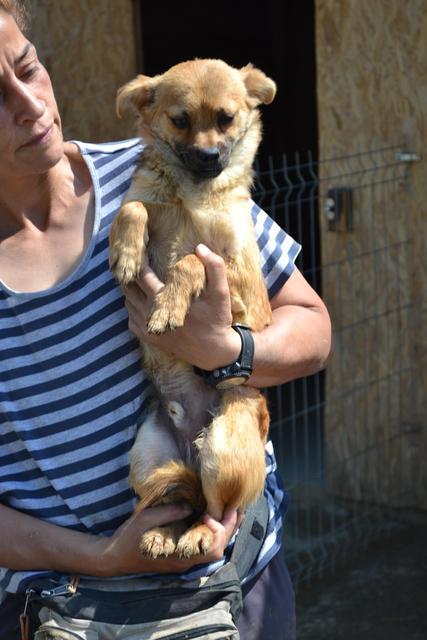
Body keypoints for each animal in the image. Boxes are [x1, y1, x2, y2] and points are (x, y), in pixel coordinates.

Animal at [110, 60, 276, 560]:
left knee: (218, 511)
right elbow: (134, 208)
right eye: (180, 120)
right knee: (181, 500)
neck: (192, 194)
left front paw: (166, 306)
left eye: (226, 118)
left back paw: (200, 534)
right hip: (148, 459)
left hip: (224, 450)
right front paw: (126, 252)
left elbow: (191, 261)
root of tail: (191, 443)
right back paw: (164, 533)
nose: (207, 156)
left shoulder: (229, 268)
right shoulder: (147, 203)